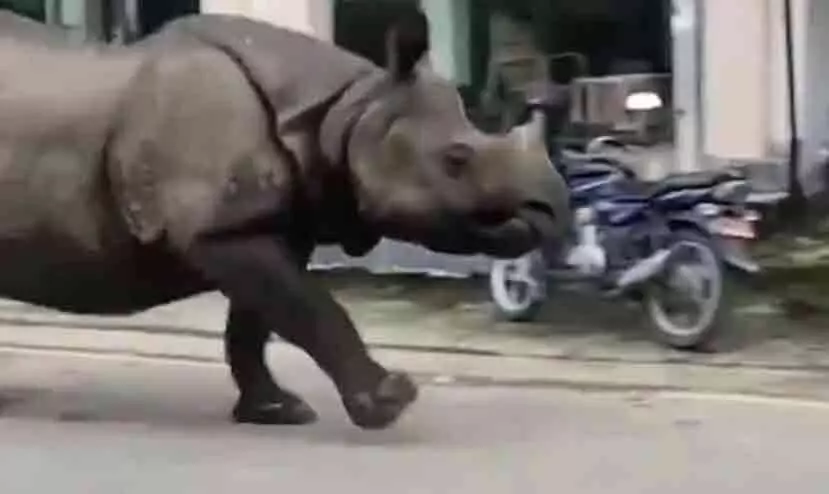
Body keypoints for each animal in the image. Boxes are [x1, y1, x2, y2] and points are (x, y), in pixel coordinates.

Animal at [0, 9, 569, 429]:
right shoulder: (218, 227)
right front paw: (390, 402)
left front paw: (277, 411)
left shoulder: (270, 225)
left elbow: (258, 323)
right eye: (456, 159)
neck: (347, 110)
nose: (549, 209)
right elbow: (311, 309)